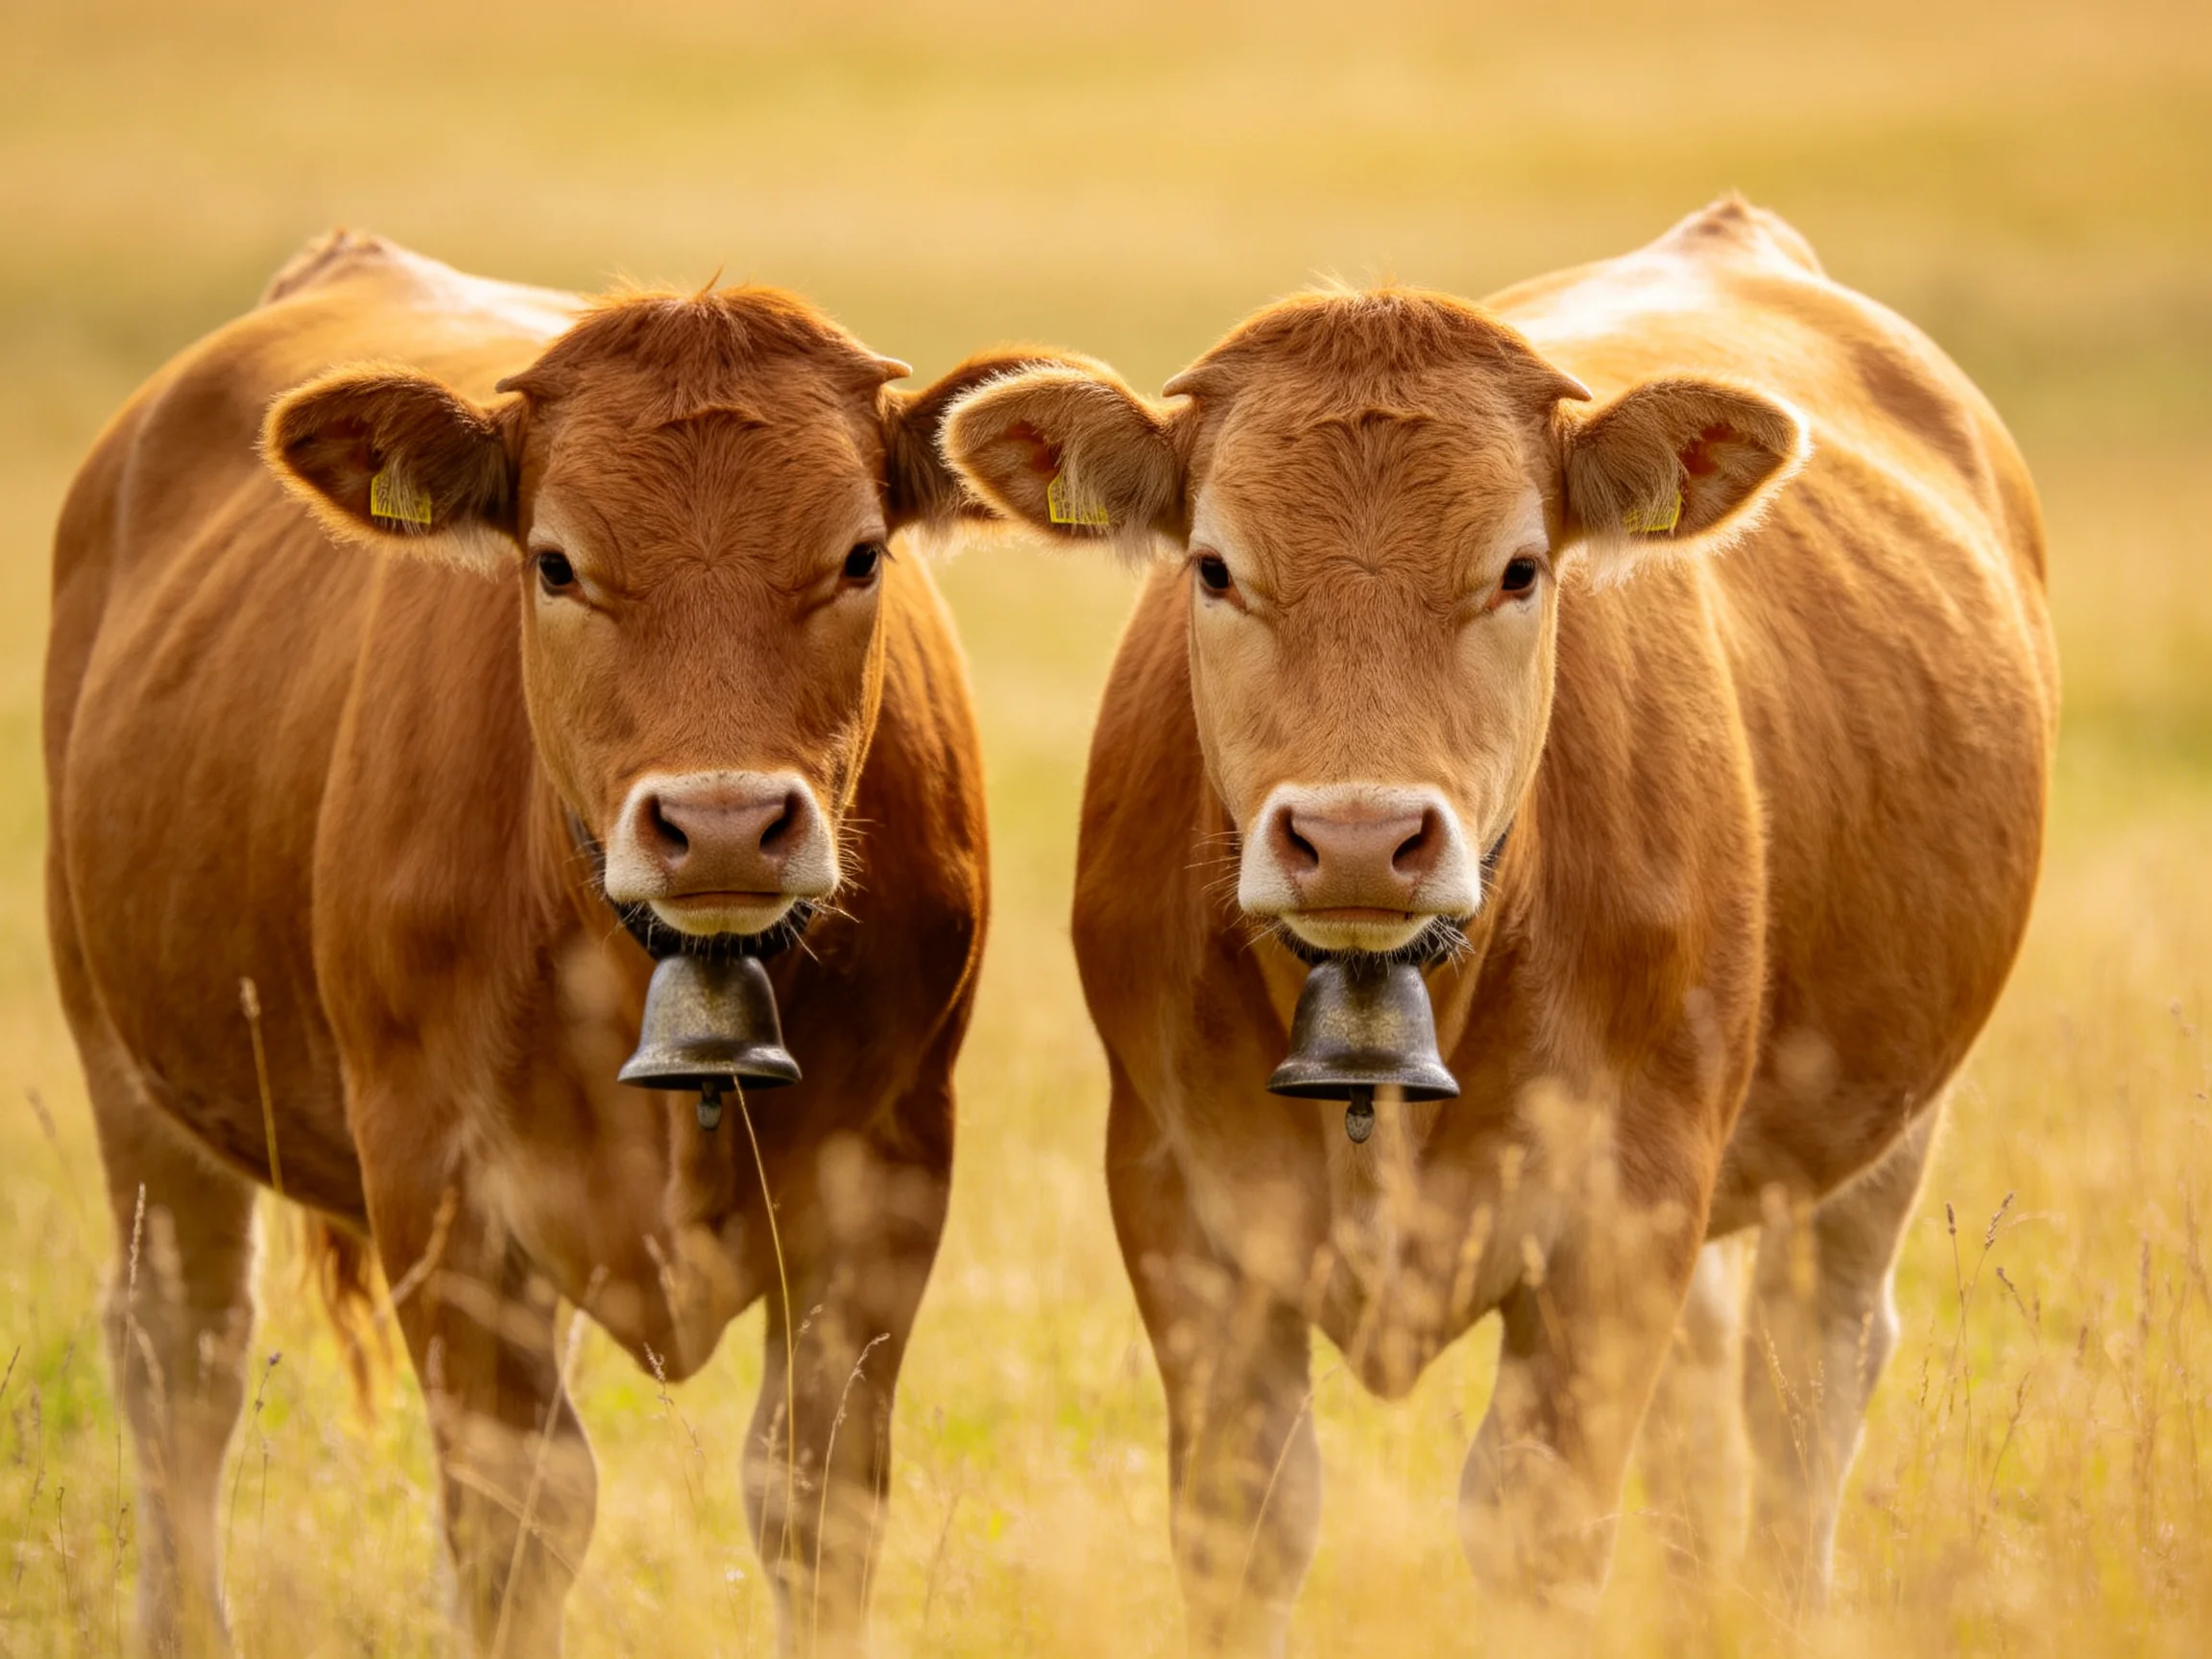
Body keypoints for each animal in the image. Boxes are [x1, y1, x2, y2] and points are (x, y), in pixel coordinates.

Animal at [44, 230, 1057, 1654]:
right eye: (557, 563)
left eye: (862, 557)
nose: (724, 823)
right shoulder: (437, 1190)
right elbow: (517, 1518)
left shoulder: (886, 1185)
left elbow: (814, 1502)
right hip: (125, 1065)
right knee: (180, 1360)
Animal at [941, 196, 2056, 1645]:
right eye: (1215, 567)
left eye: (1520, 569)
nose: (1359, 835)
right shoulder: (1183, 1213)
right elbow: (1246, 1529)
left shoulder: (1620, 1222)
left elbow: (1534, 1525)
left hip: (1885, 1121)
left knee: (1804, 1385)